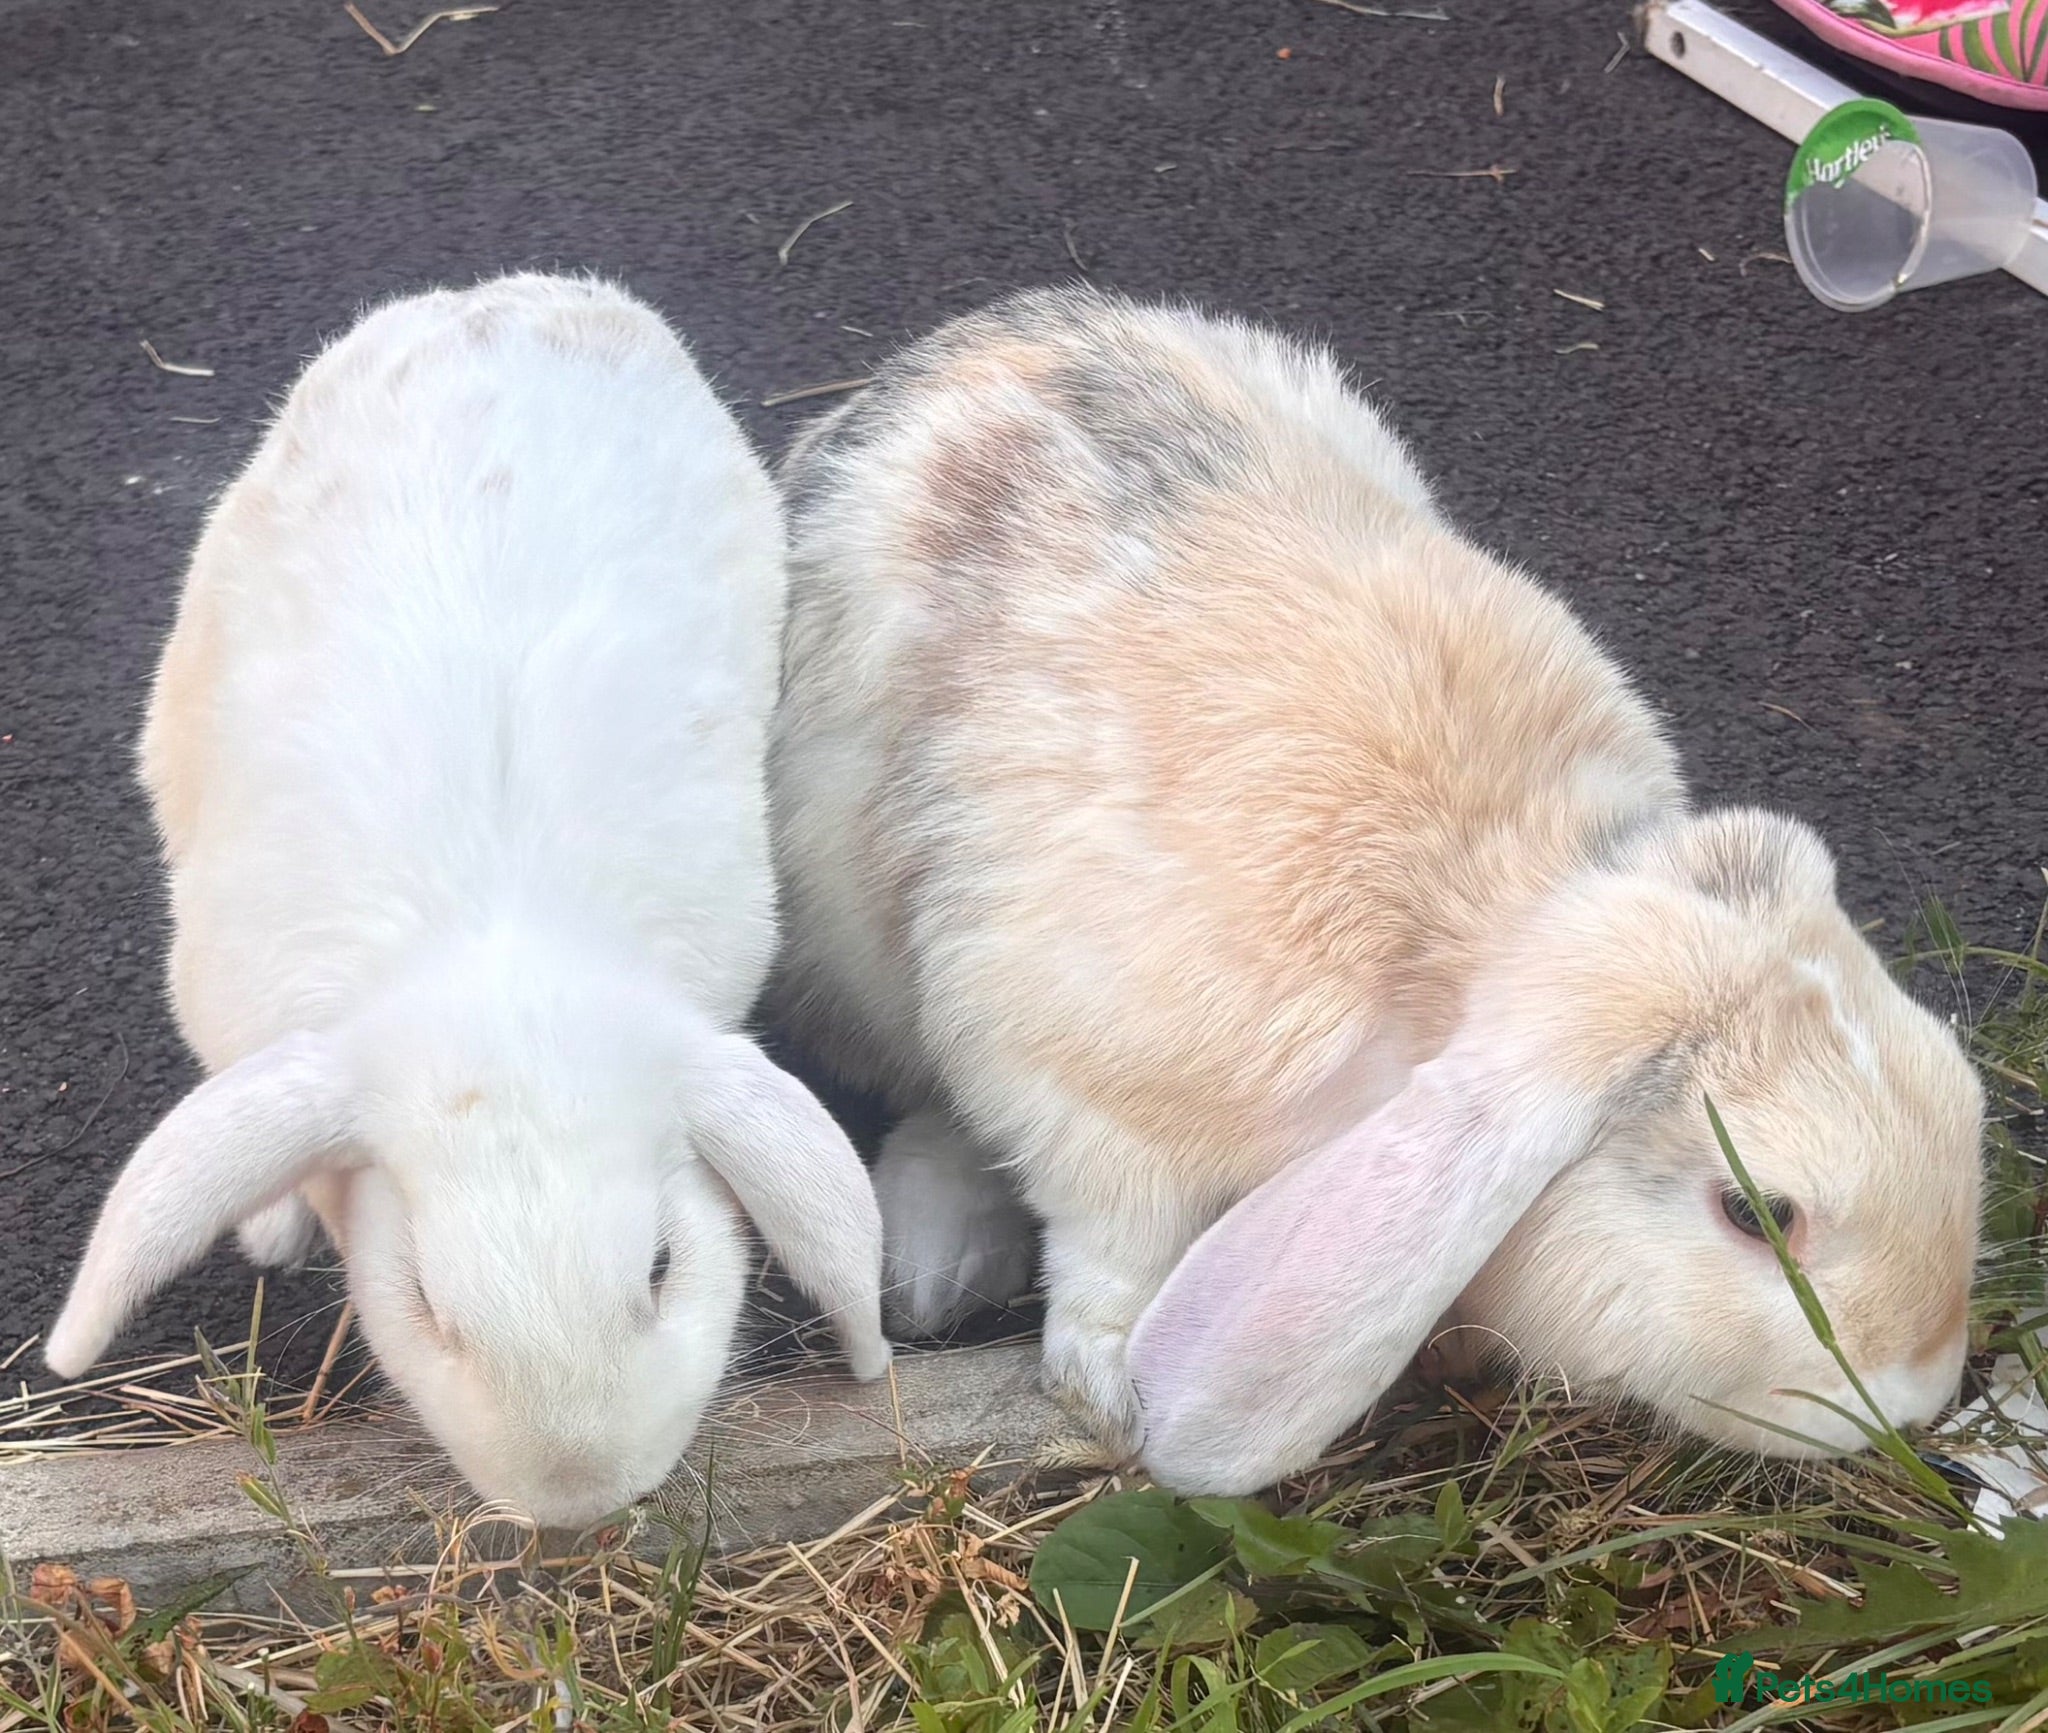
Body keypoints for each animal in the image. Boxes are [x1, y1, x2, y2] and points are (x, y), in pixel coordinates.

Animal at [46, 273, 890, 1527]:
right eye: (426, 1301)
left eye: (661, 1265)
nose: (580, 1496)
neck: (500, 950)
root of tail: (500, 302)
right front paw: (273, 1224)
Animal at [766, 285, 1983, 1496]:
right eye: (1758, 1213)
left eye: (1965, 1095)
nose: (1917, 1395)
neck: (1477, 932)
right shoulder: (1075, 1078)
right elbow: (1110, 1239)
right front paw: (1113, 1385)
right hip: (851, 935)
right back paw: (933, 1262)